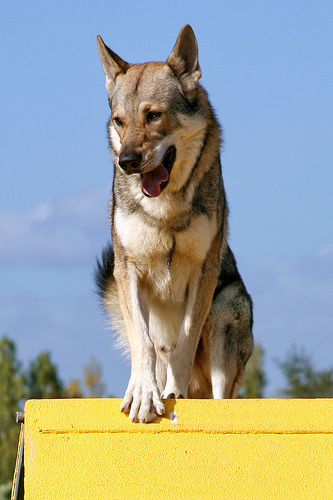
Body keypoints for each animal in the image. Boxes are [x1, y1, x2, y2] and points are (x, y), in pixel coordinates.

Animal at [95, 23, 252, 422]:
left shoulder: (204, 271)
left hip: (225, 310)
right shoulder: (128, 271)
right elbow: (144, 345)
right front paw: (143, 395)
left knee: (219, 393)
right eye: (119, 121)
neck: (165, 209)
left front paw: (172, 394)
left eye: (154, 115)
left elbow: (185, 341)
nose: (127, 162)